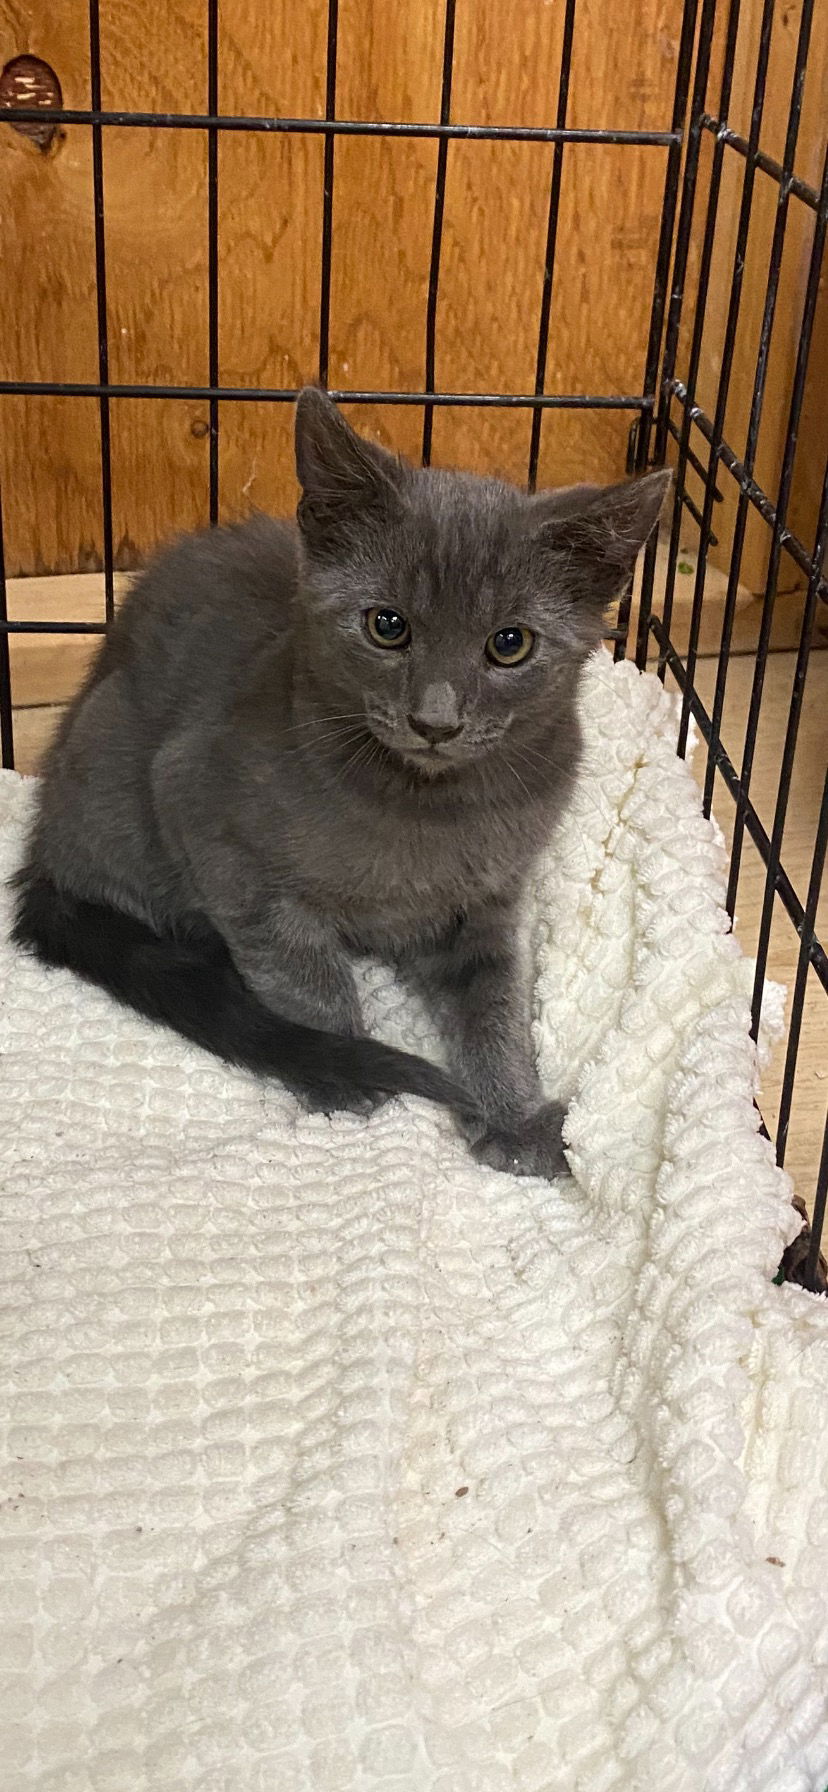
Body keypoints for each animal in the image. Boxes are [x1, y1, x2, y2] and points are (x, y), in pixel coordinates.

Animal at [12, 392, 666, 1175]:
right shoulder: (206, 819)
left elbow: (494, 1000)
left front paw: (516, 1116)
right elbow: (301, 969)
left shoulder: (486, 901)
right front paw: (346, 1070)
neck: (429, 811)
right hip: (111, 773)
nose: (436, 720)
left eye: (511, 644)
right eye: (387, 626)